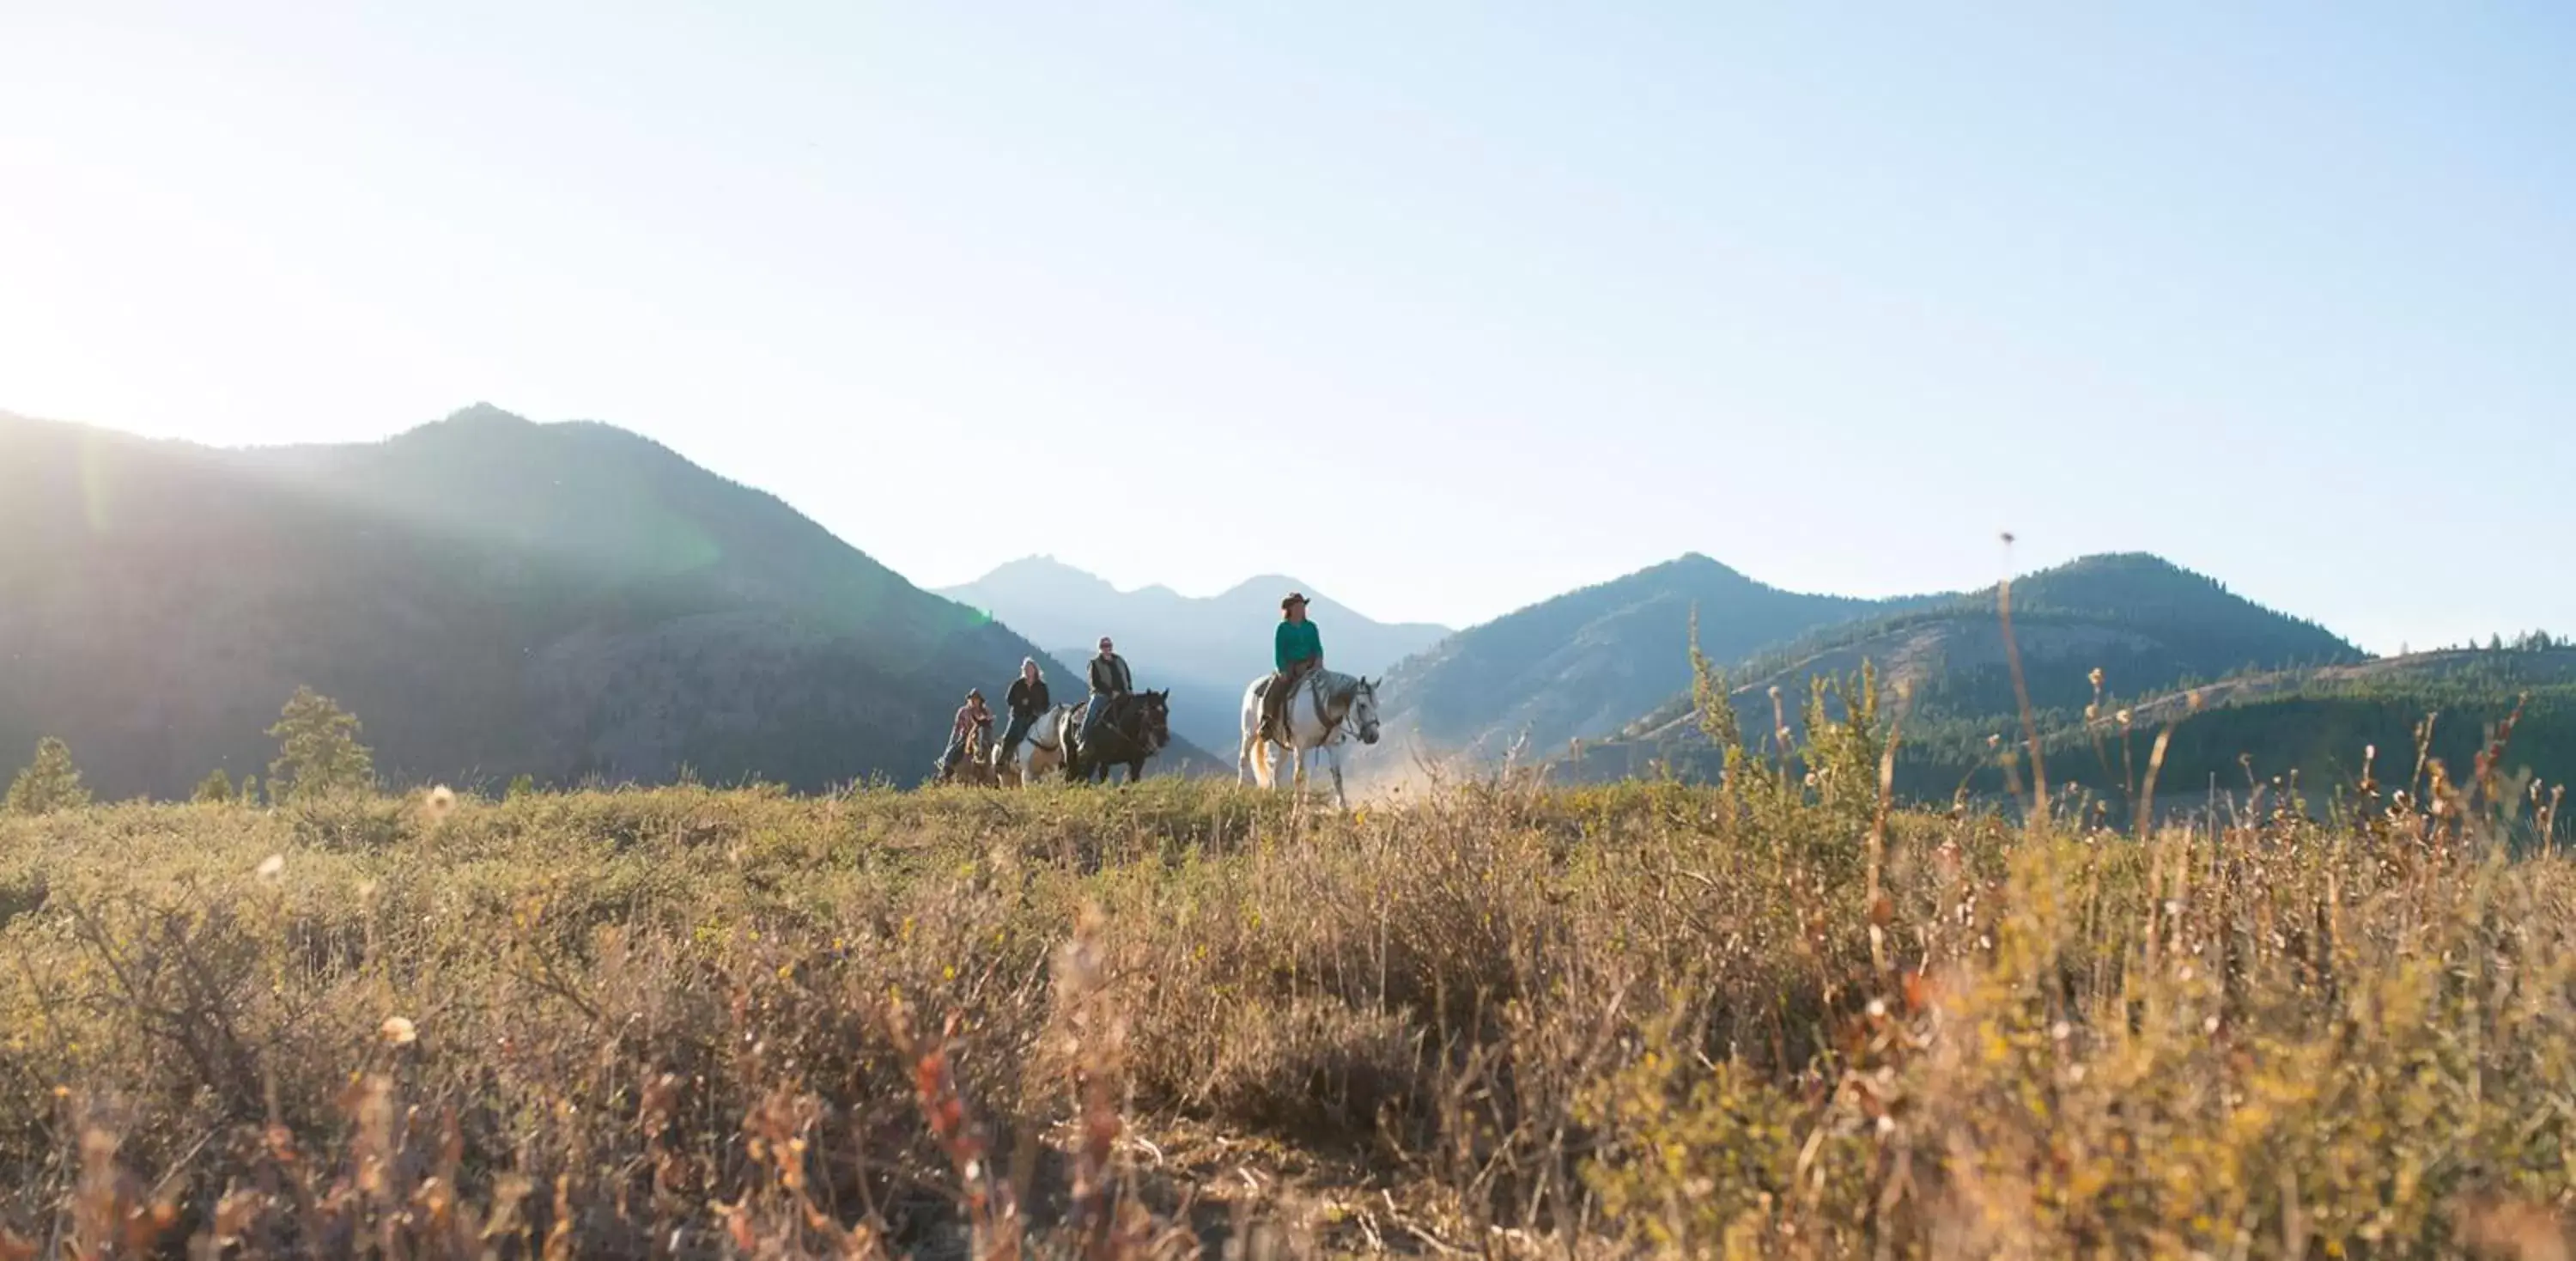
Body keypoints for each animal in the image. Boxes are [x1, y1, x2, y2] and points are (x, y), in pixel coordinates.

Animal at [1236, 670, 1381, 804]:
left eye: (1376, 705)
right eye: (1362, 705)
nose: (1373, 736)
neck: (1323, 705)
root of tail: (1255, 684)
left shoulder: (1332, 745)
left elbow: (1337, 777)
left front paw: (1343, 809)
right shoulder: (1300, 747)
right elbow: (1299, 777)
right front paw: (1297, 809)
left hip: (1283, 745)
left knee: (1276, 771)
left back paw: (1275, 798)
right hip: (1249, 734)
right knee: (1244, 761)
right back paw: (1239, 792)